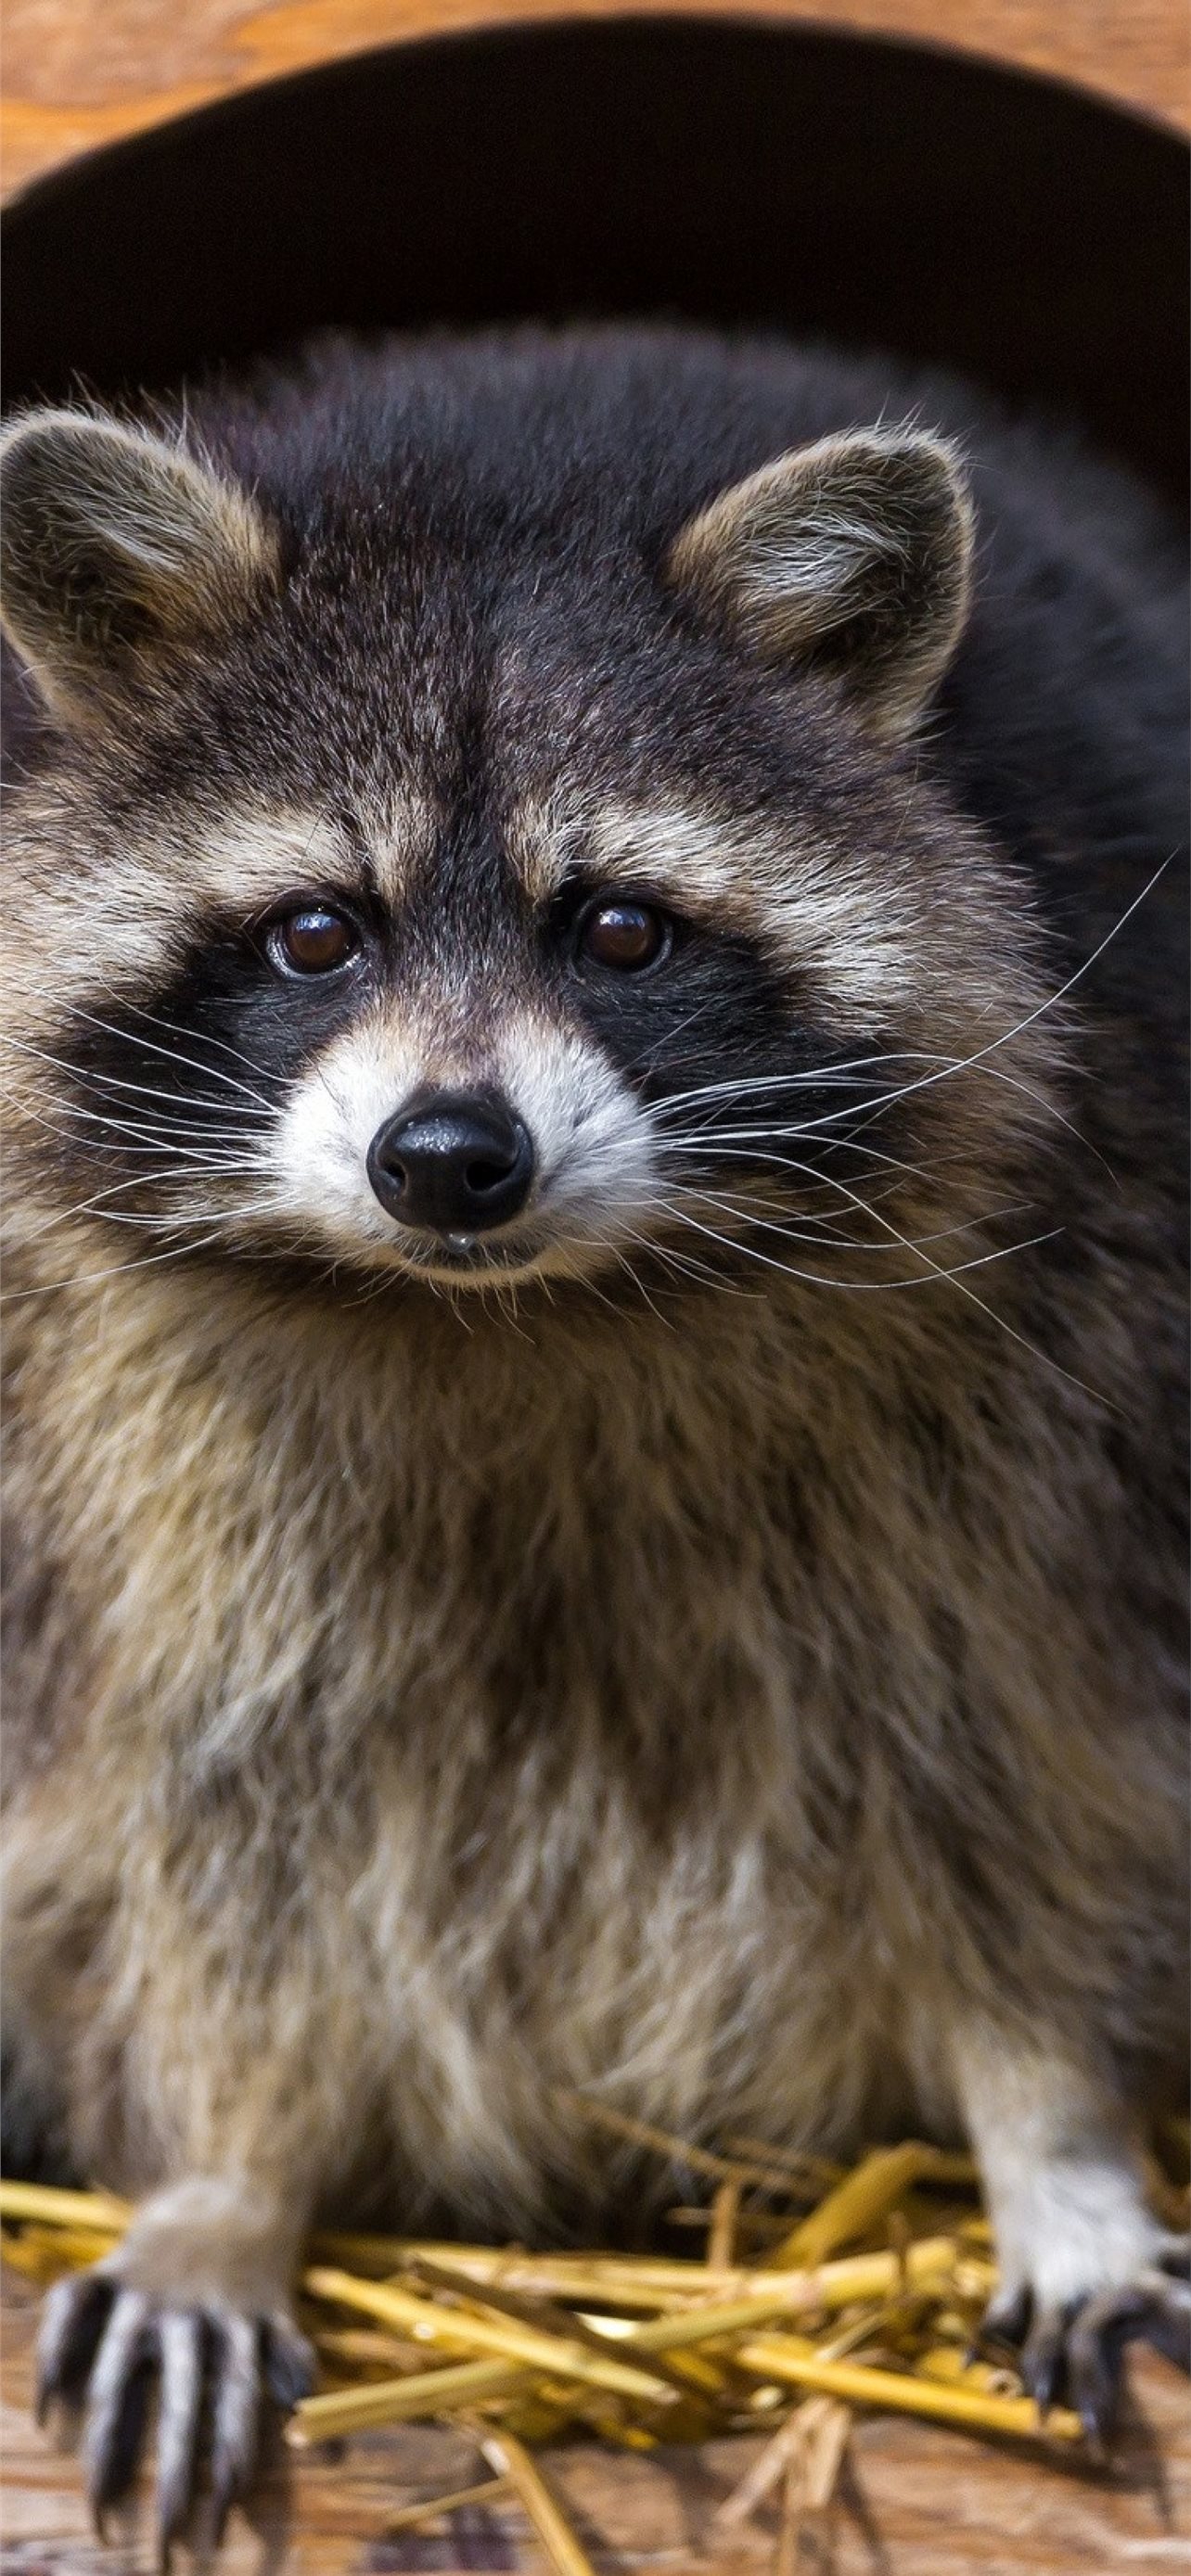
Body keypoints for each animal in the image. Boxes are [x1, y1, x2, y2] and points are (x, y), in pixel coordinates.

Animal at [1, 325, 1187, 2549]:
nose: (448, 1158)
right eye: (316, 932)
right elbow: (193, 1800)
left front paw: (1050, 2118)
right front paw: (225, 2170)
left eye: (619, 930)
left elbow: (1031, 1741)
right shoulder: (92, 1423)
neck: (503, 1309)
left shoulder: (1096, 1318)